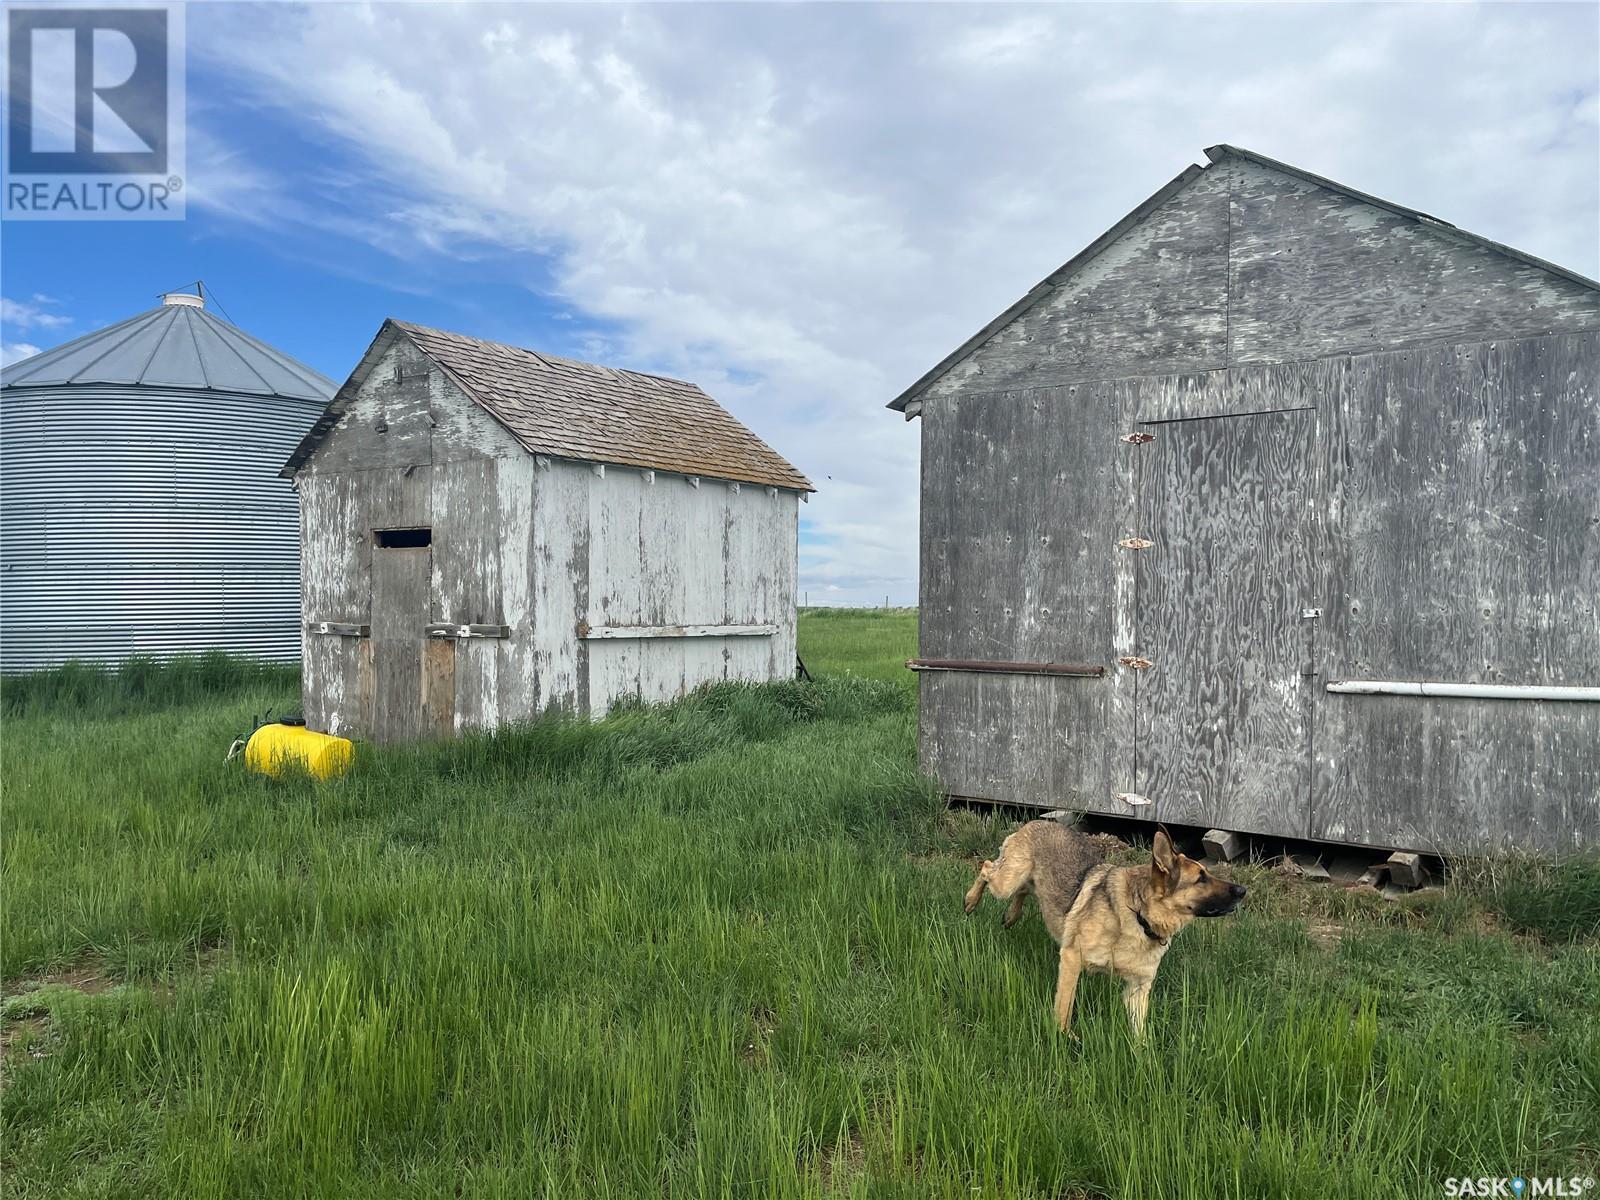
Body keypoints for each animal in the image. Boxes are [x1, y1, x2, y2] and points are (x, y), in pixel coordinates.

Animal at [966, 825, 1241, 1036]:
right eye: (1201, 878)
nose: (1243, 890)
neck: (1138, 916)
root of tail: (1036, 822)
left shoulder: (1137, 990)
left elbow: (1141, 1038)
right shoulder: (1071, 959)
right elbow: (1064, 1007)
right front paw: (1065, 1037)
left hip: (1027, 885)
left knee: (1022, 890)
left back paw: (1011, 916)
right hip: (1006, 882)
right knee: (987, 868)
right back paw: (971, 900)